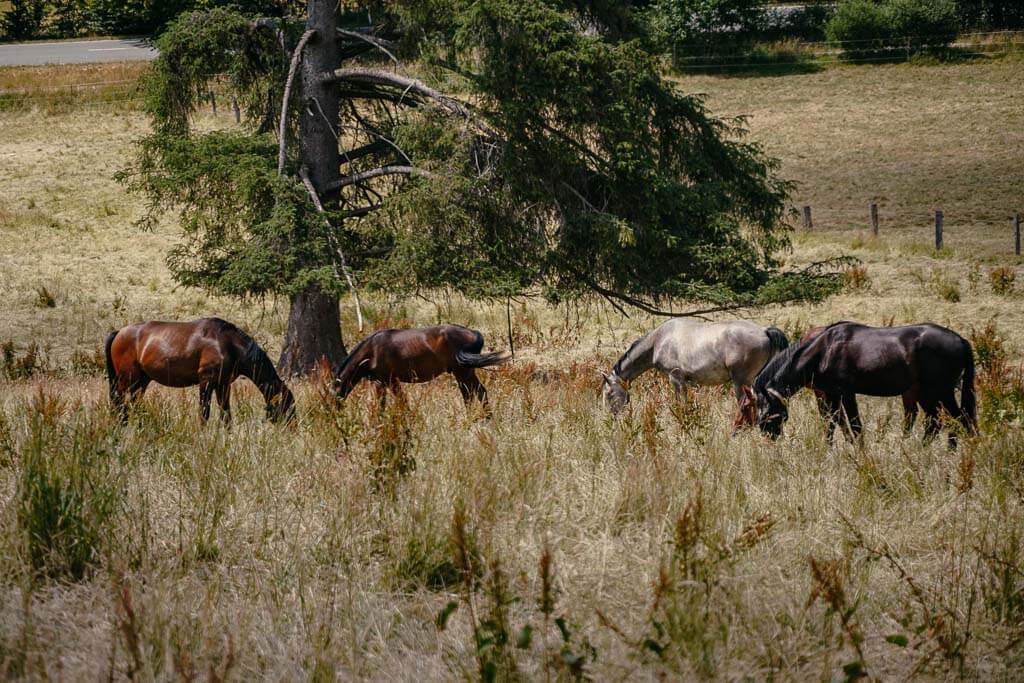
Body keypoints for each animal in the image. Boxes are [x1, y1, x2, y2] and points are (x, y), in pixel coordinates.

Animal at [105, 317, 295, 424]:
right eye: (287, 406)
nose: (292, 429)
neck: (227, 344)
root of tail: (119, 332)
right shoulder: (206, 382)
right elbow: (204, 412)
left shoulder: (223, 385)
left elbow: (226, 414)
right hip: (126, 380)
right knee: (119, 403)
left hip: (141, 382)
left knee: (133, 404)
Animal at [332, 324, 511, 410]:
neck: (372, 350)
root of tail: (473, 332)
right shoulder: (381, 383)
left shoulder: (389, 381)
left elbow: (399, 402)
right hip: (466, 372)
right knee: (479, 392)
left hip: (462, 372)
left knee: (470, 395)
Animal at [601, 318, 790, 417]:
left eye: (609, 394)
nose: (612, 417)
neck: (657, 341)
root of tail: (764, 331)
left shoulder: (676, 379)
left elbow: (680, 404)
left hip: (741, 381)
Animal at [751, 321, 976, 446]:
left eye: (769, 415)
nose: (770, 438)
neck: (824, 350)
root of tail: (961, 340)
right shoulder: (831, 394)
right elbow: (833, 422)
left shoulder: (846, 393)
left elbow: (853, 424)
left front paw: (859, 450)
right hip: (928, 393)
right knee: (936, 422)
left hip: (940, 391)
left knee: (959, 419)